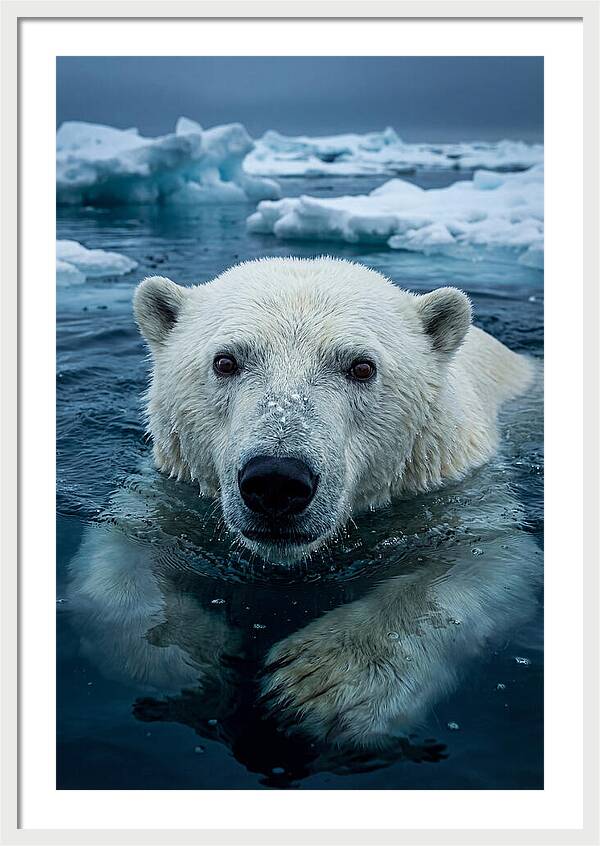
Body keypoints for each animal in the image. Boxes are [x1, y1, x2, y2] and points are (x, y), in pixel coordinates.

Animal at [65, 257, 541, 765]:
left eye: (361, 366)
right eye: (225, 361)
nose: (276, 480)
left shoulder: (454, 490)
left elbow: (486, 560)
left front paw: (320, 684)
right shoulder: (173, 491)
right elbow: (121, 554)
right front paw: (192, 657)